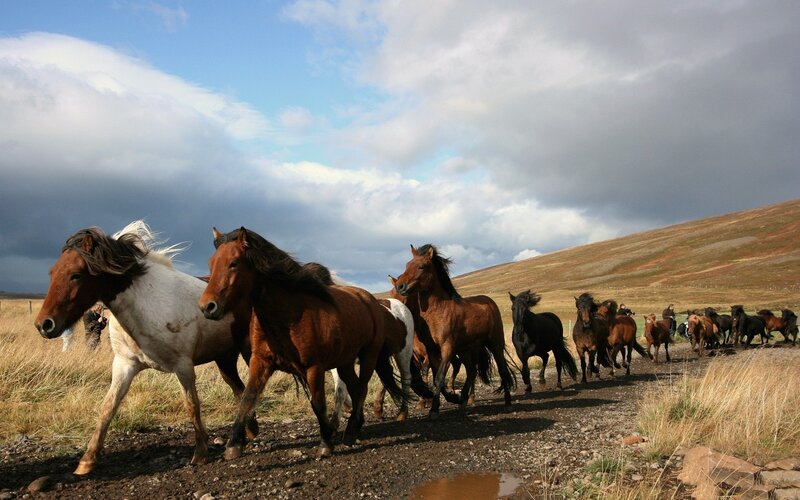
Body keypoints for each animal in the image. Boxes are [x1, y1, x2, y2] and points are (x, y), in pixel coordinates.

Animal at [34, 222, 255, 475]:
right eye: (52, 273)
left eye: (76, 275)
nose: (44, 325)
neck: (145, 304)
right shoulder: (124, 365)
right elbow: (108, 407)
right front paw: (87, 461)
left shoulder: (183, 366)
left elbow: (192, 405)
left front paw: (200, 453)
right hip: (224, 358)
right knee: (238, 389)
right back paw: (248, 433)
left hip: (248, 350)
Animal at [199, 227, 403, 460]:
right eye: (211, 263)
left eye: (233, 263)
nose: (207, 307)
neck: (287, 316)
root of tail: (369, 299)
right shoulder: (260, 362)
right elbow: (247, 398)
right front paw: (233, 444)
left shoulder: (314, 367)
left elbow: (318, 403)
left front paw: (326, 442)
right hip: (345, 361)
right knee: (355, 387)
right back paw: (354, 429)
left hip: (369, 356)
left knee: (361, 388)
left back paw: (351, 430)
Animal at [392, 244, 516, 416]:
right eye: (407, 265)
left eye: (421, 266)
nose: (400, 286)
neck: (438, 310)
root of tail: (490, 302)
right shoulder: (432, 350)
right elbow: (437, 378)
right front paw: (449, 400)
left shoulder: (447, 348)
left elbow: (439, 377)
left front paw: (434, 410)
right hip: (466, 349)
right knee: (472, 371)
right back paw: (463, 401)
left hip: (495, 344)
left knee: (502, 369)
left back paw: (508, 402)